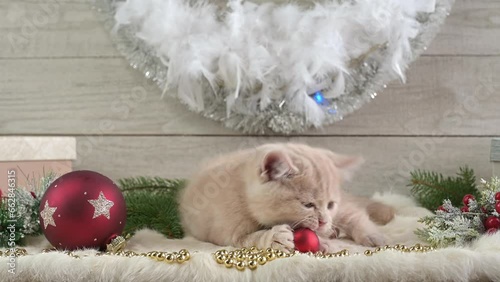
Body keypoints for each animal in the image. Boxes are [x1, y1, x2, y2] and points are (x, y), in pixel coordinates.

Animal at [180, 143, 394, 251]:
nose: (324, 221)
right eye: (308, 204)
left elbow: (352, 215)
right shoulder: (225, 230)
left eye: (331, 204)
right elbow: (249, 240)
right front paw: (275, 238)